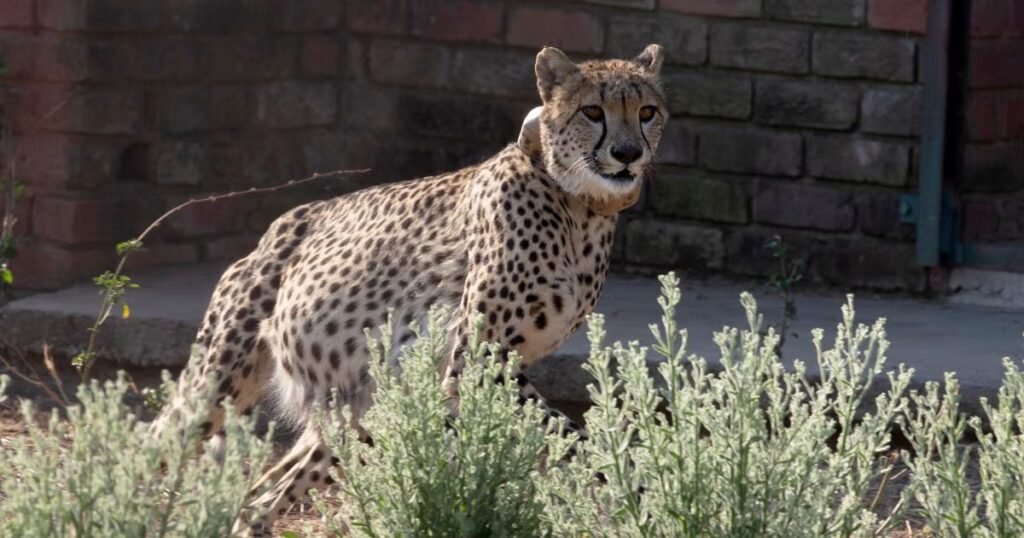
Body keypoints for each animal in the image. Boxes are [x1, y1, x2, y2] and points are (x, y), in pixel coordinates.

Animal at [151, 43, 668, 535]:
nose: (627, 154)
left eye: (647, 112)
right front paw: (625, 477)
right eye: (593, 111)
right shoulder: (477, 359)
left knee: (265, 495)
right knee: (159, 441)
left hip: (358, 409)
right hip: (215, 384)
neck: (580, 206)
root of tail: (272, 232)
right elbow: (561, 428)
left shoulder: (493, 364)